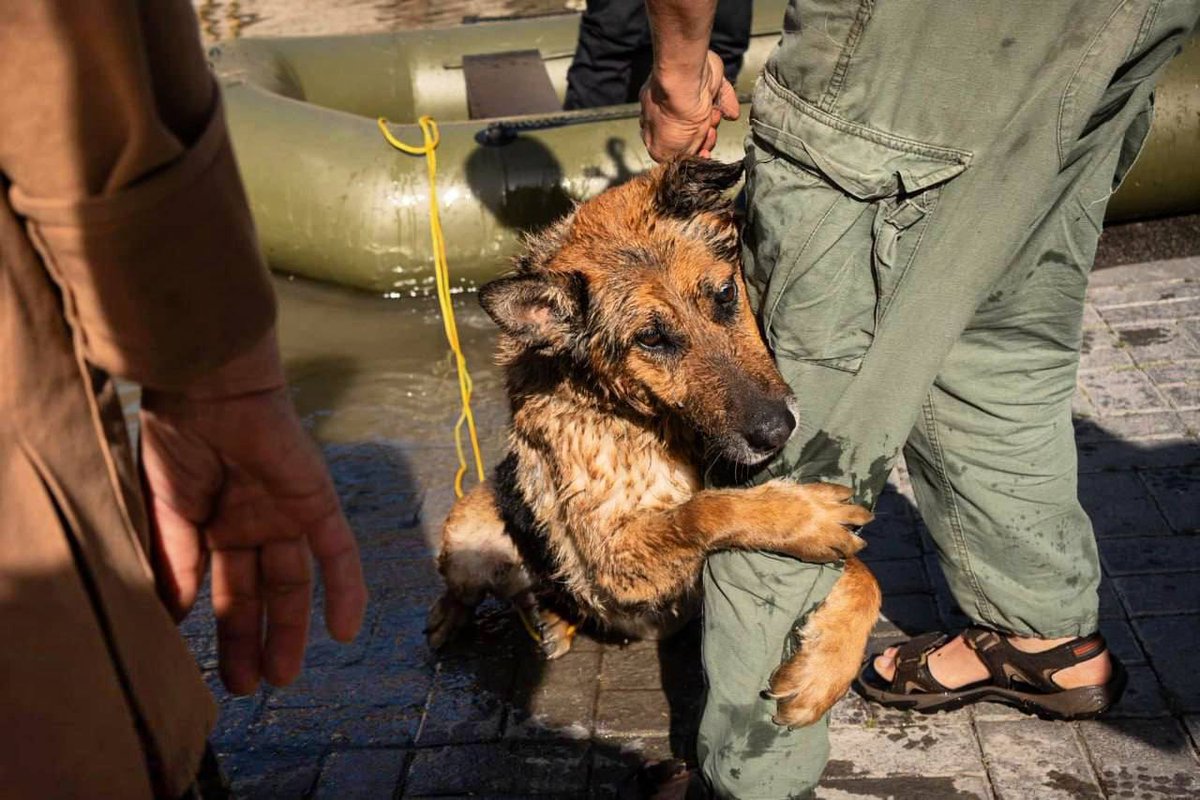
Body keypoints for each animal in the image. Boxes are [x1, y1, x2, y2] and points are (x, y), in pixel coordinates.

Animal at [432, 155, 883, 724]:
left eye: (725, 295)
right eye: (650, 338)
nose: (776, 430)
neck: (645, 417)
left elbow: (865, 575)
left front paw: (825, 668)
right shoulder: (612, 560)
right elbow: (705, 511)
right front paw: (797, 515)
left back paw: (549, 618)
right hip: (468, 531)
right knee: (470, 590)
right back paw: (466, 620)